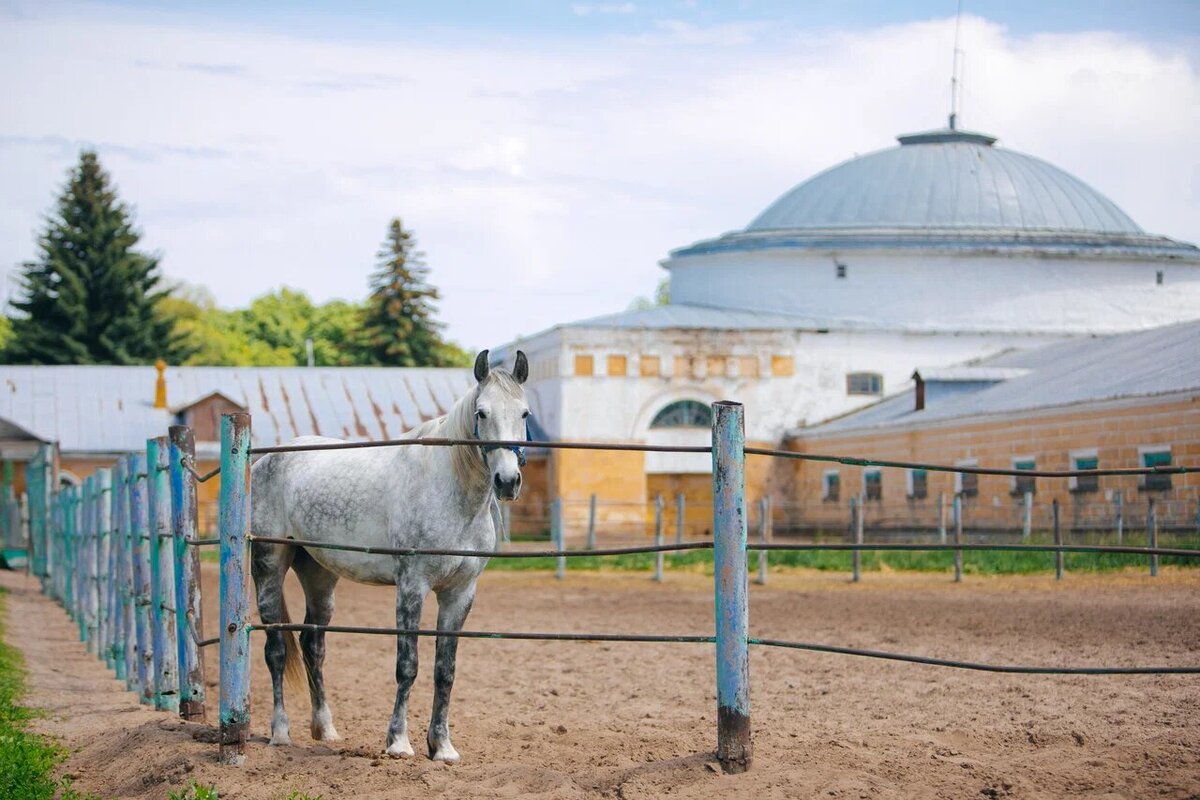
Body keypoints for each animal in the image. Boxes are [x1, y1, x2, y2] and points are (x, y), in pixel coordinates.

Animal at [250, 352, 528, 762]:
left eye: (524, 413)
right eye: (481, 413)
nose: (507, 482)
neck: (448, 491)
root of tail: (266, 459)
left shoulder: (459, 593)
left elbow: (445, 671)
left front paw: (442, 746)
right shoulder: (411, 586)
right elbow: (407, 666)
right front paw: (398, 742)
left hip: (319, 576)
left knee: (313, 647)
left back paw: (325, 729)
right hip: (269, 566)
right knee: (276, 651)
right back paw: (280, 733)